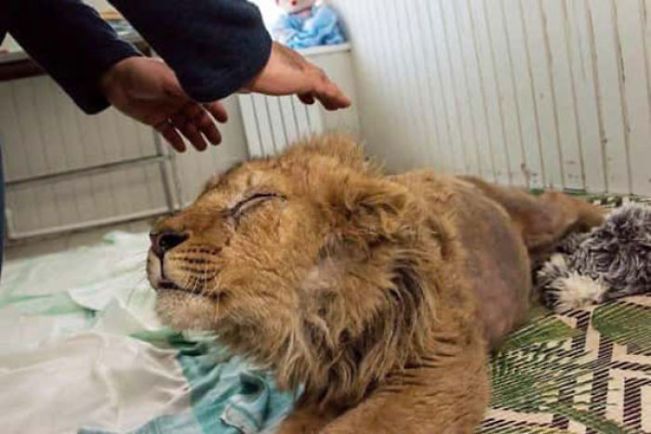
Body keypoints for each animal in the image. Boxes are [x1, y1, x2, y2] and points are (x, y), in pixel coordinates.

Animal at [147, 135, 603, 433]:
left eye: (255, 200)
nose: (155, 238)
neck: (320, 315)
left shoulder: (438, 369)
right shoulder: (327, 387)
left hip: (539, 214)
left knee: (561, 200)